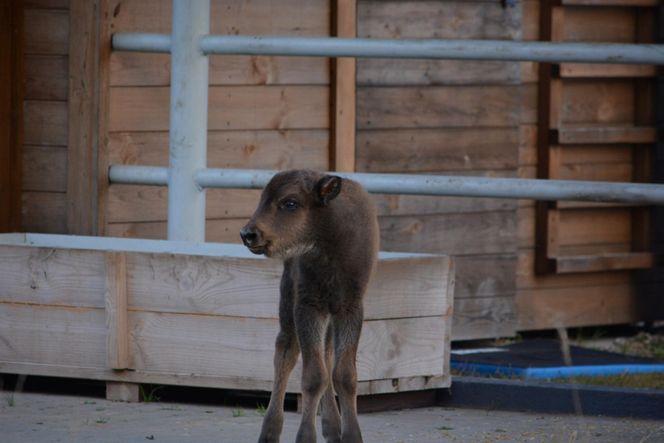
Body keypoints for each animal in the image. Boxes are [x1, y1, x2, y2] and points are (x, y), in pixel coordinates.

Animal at [241, 170, 378, 443]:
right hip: (288, 303)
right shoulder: (307, 307)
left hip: (327, 314)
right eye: (262, 199)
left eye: (290, 203)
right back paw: (270, 432)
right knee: (285, 353)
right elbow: (314, 377)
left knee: (326, 353)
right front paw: (305, 437)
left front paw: (352, 436)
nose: (249, 234)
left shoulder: (349, 308)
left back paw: (332, 428)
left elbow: (344, 375)